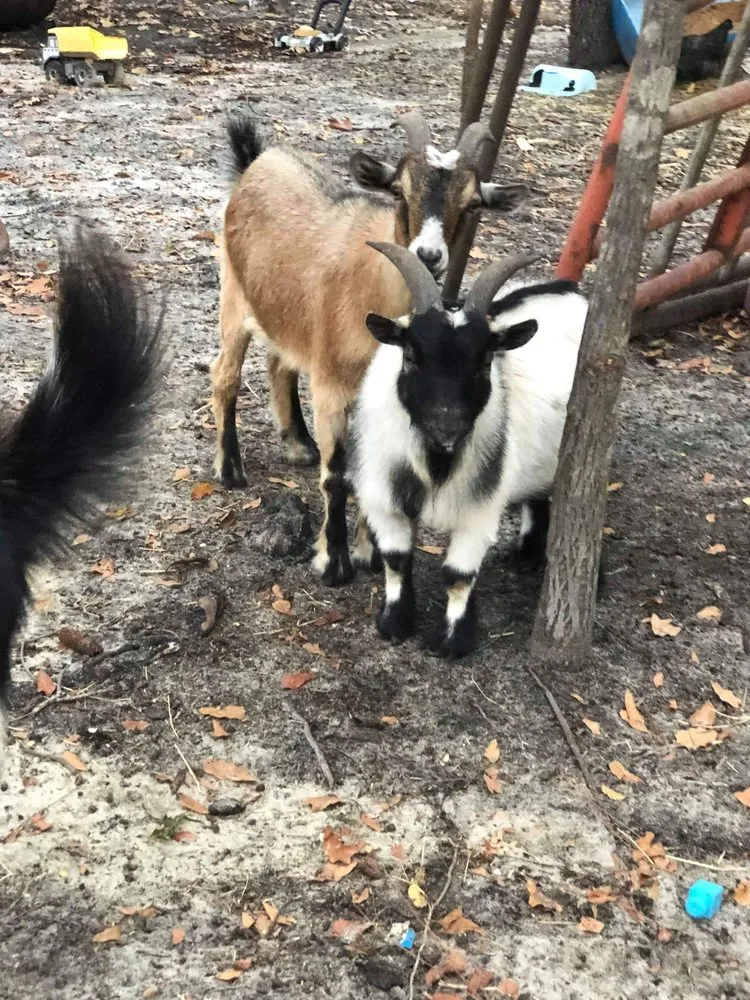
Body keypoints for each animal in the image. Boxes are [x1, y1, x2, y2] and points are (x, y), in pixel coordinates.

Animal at [210, 111, 529, 587]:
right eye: (398, 188)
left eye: (473, 203)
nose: (428, 254)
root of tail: (257, 161)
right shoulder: (332, 388)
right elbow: (337, 476)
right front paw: (335, 562)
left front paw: (370, 552)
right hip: (234, 294)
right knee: (225, 374)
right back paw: (230, 468)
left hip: (285, 314)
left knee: (280, 363)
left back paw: (298, 445)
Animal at [349, 243, 587, 658]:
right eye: (410, 355)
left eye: (486, 360)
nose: (448, 425)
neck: (435, 462)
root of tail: (570, 289)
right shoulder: (384, 498)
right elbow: (397, 559)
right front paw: (395, 623)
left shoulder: (478, 510)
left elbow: (458, 575)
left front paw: (453, 640)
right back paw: (525, 555)